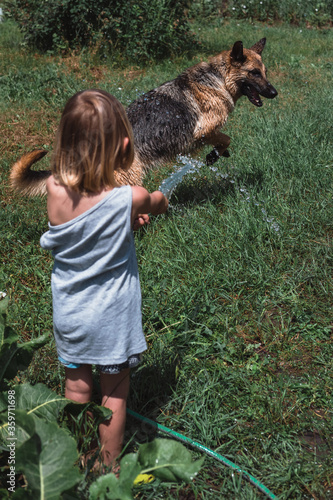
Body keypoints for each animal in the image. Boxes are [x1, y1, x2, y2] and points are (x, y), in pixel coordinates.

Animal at [9, 38, 274, 194]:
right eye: (253, 73)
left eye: (264, 72)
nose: (274, 92)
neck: (216, 79)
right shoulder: (202, 131)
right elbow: (225, 137)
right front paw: (214, 155)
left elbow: (223, 140)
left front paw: (217, 154)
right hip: (130, 177)